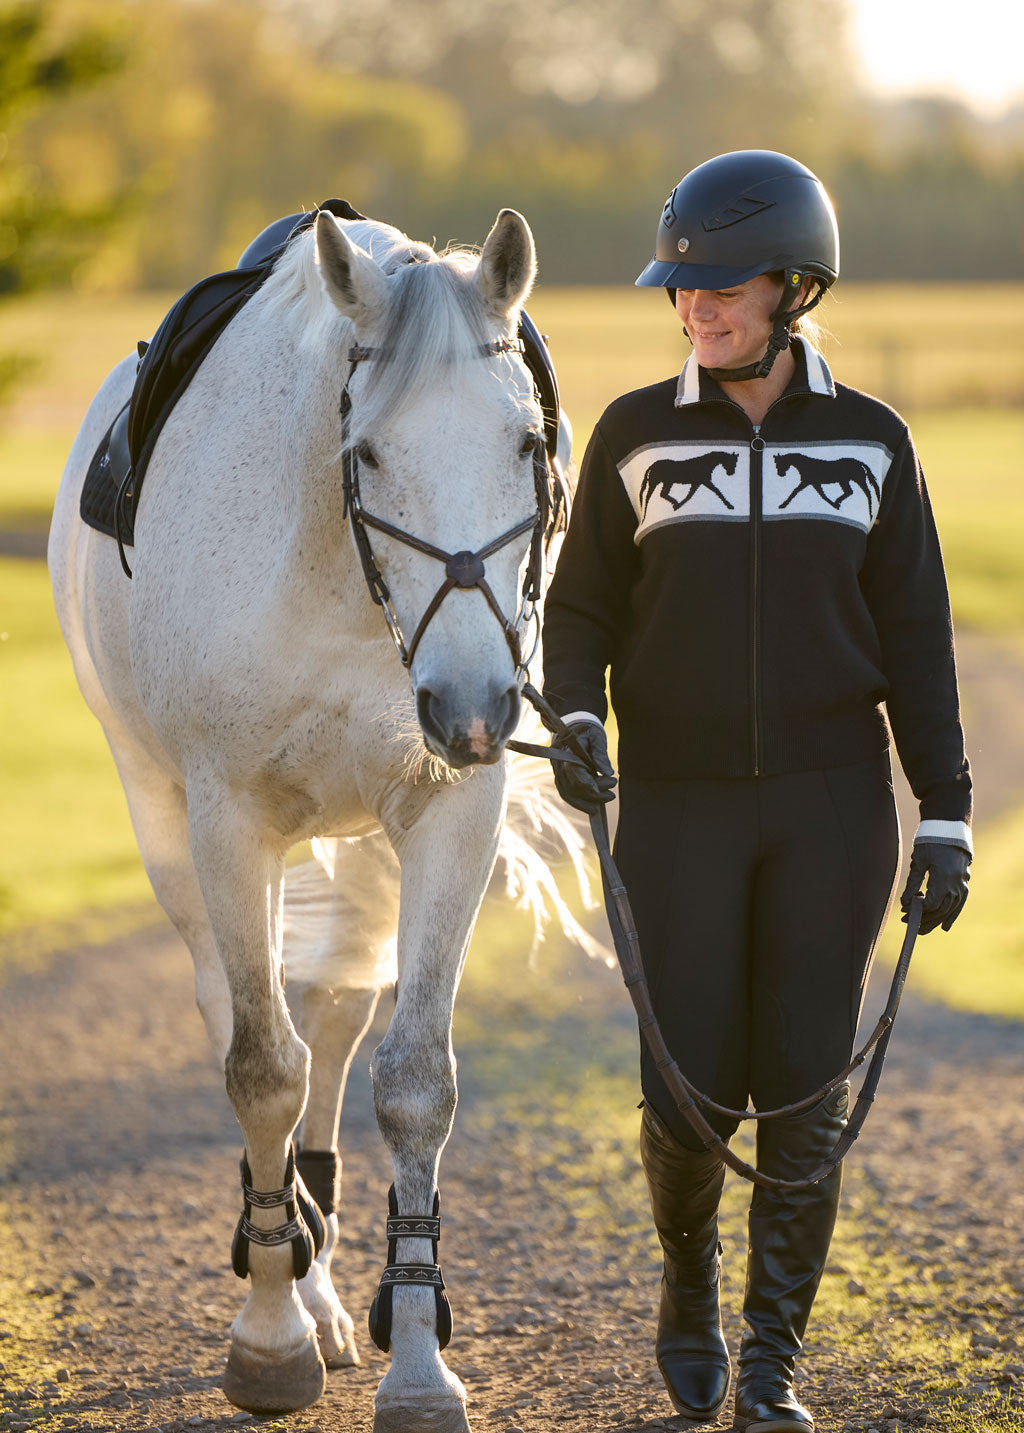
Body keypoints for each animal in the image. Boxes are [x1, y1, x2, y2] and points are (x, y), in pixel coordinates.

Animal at [48, 207, 580, 1433]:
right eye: (368, 453)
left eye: (524, 444)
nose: (475, 706)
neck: (339, 573)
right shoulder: (227, 821)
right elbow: (259, 1070)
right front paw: (270, 1337)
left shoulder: (451, 812)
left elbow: (412, 1083)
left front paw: (418, 1359)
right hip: (167, 825)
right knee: (238, 1016)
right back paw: (288, 1265)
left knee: (336, 1017)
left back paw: (331, 1277)